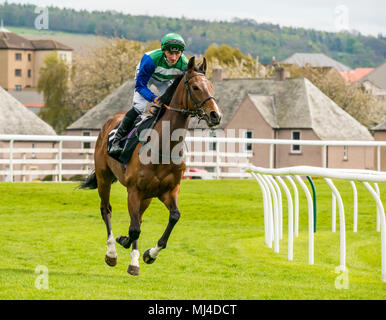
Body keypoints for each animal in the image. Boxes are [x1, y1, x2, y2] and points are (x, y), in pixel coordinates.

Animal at [80, 57, 222, 276]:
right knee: (106, 210)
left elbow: (173, 217)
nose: (215, 115)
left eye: (212, 86)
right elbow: (135, 228)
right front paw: (128, 254)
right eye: (196, 87)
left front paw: (149, 254)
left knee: (136, 218)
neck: (164, 146)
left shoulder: (168, 190)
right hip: (105, 178)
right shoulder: (134, 190)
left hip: (145, 196)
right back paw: (111, 252)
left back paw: (128, 251)